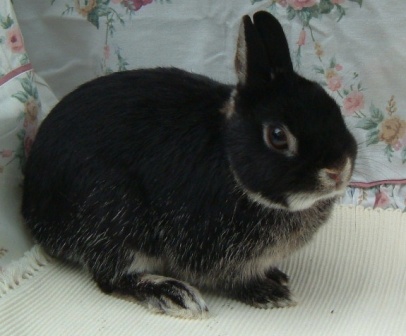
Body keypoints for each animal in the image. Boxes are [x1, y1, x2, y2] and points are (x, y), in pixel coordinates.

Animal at [23, 11, 356, 318]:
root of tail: (34, 207)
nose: (338, 171)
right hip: (114, 214)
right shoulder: (213, 251)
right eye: (277, 136)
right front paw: (267, 292)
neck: (229, 159)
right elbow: (231, 279)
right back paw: (172, 294)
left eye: (332, 105)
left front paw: (276, 276)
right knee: (111, 276)